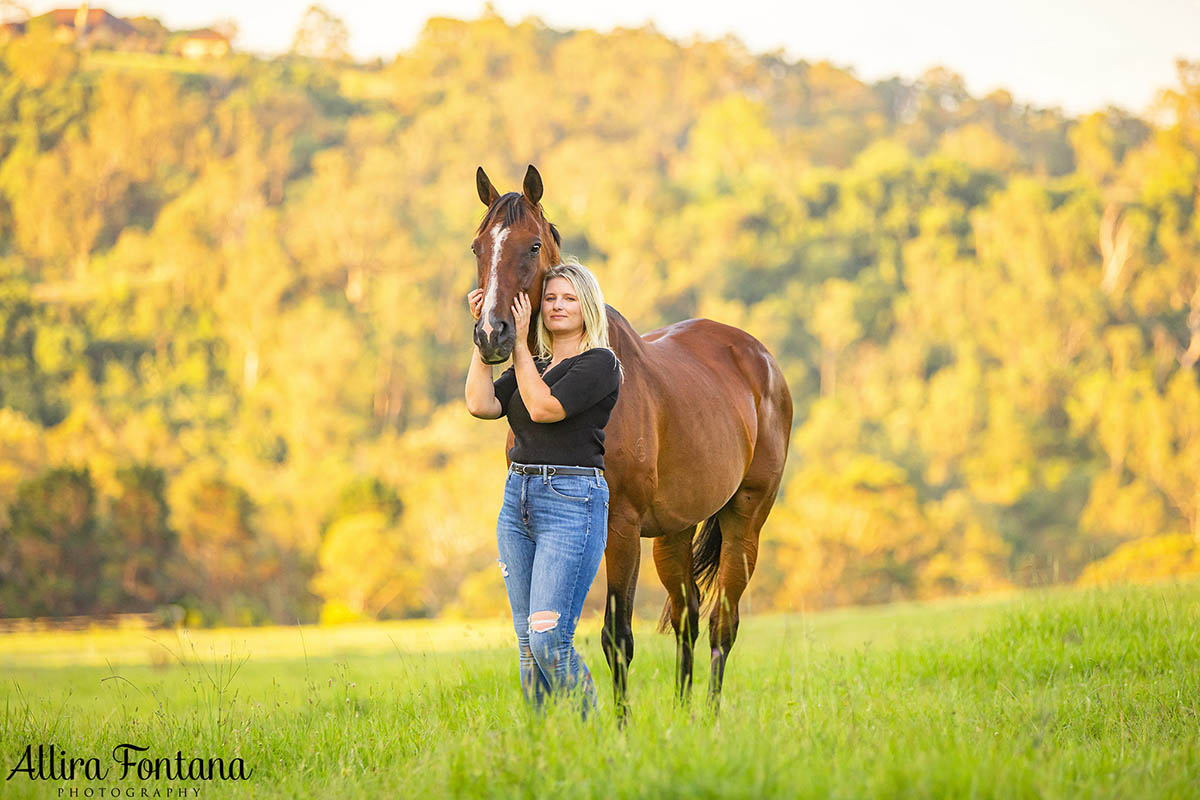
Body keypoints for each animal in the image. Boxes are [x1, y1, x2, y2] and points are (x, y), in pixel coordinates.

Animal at [470, 164, 796, 714]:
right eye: (477, 248)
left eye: (532, 246)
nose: (492, 333)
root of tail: (760, 358)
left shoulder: (619, 527)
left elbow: (616, 637)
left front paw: (620, 728)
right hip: (674, 532)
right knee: (687, 615)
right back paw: (684, 716)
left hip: (745, 520)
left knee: (721, 624)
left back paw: (710, 716)